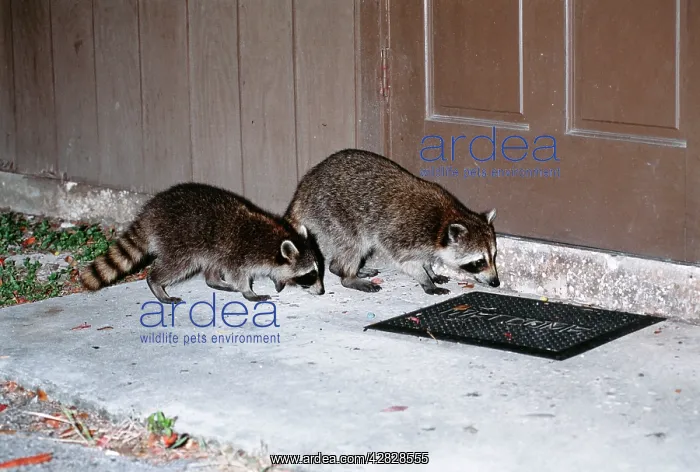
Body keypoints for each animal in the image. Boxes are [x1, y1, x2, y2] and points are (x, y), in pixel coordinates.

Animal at [80, 182, 324, 304]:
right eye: (310, 274)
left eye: (317, 271)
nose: (321, 291)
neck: (275, 239)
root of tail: (150, 211)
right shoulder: (240, 255)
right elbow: (239, 276)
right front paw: (248, 292)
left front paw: (278, 280)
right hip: (178, 240)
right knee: (176, 265)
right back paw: (156, 283)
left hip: (209, 246)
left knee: (211, 265)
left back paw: (215, 280)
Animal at [284, 149, 499, 295]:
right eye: (479, 262)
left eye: (494, 256)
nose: (496, 283)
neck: (443, 223)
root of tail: (303, 190)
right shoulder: (405, 235)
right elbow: (406, 262)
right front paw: (425, 279)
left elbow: (424, 258)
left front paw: (430, 269)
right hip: (334, 213)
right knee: (354, 244)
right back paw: (348, 275)